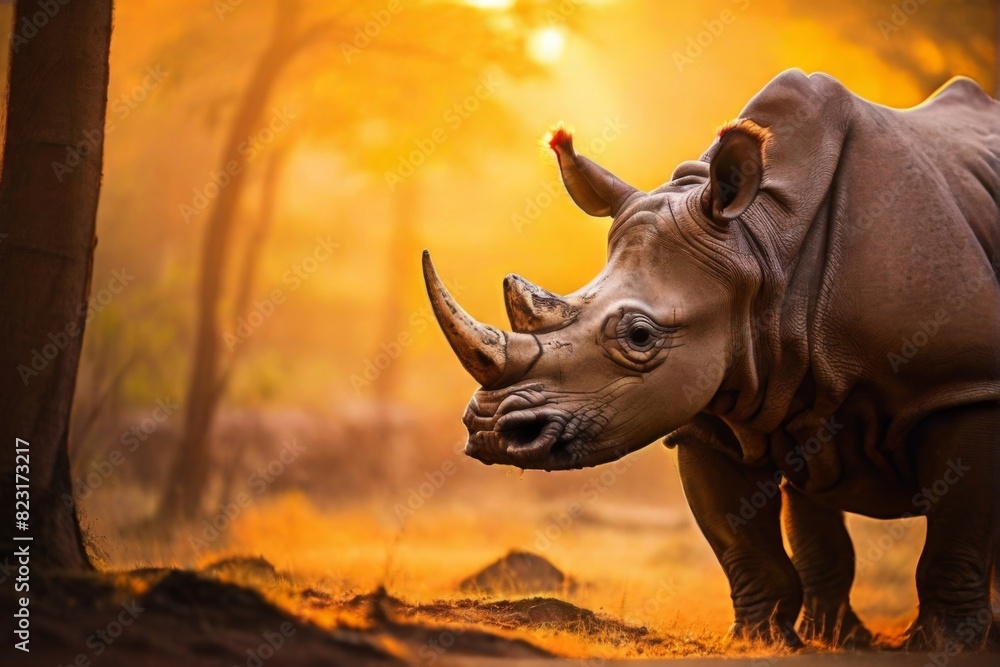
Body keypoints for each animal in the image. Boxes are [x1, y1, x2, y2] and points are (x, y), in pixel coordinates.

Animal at [422, 70, 1000, 650]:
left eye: (640, 336)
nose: (490, 431)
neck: (761, 249)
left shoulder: (963, 385)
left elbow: (955, 539)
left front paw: (942, 647)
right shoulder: (706, 407)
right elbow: (743, 544)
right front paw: (758, 642)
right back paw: (838, 637)